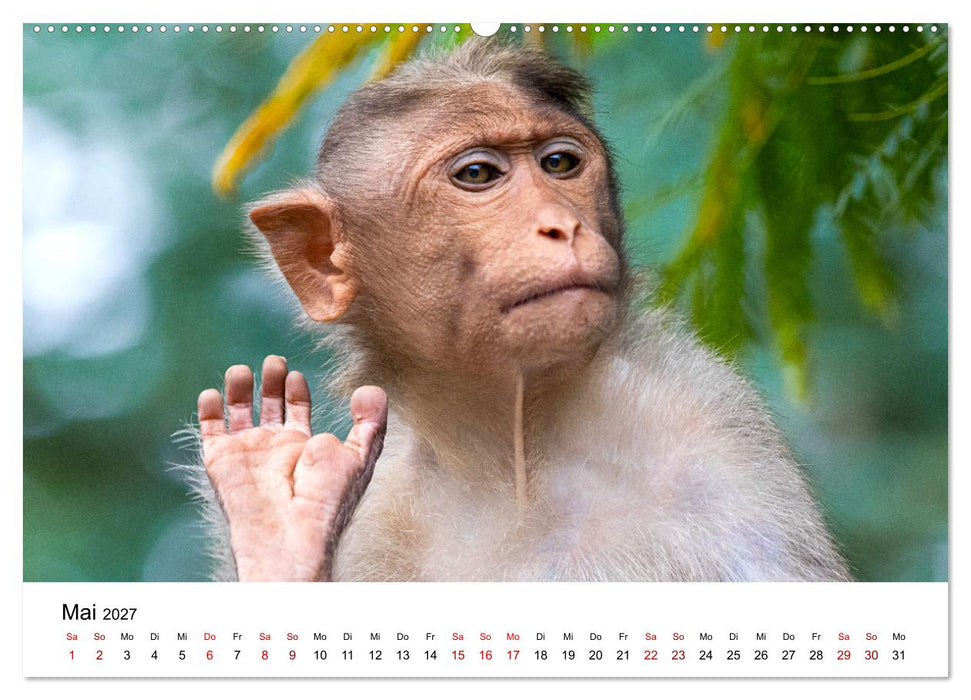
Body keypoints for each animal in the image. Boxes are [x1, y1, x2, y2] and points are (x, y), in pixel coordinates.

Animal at [191, 39, 851, 583]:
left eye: (559, 164)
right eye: (478, 174)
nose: (562, 224)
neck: (510, 456)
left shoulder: (714, 441)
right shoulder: (378, 517)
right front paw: (274, 515)